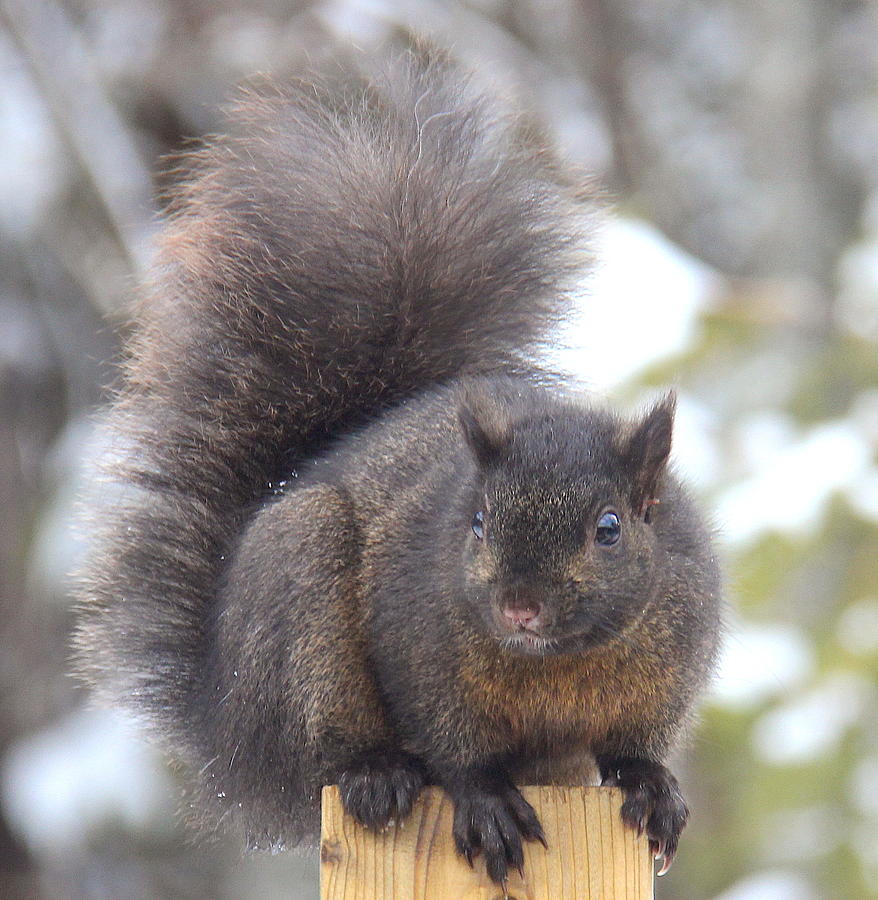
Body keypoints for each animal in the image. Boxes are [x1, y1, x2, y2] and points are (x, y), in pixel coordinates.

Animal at [74, 51, 720, 884]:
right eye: (475, 520)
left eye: (610, 528)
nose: (519, 606)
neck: (557, 663)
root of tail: (223, 730)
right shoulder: (419, 650)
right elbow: (454, 746)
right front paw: (484, 799)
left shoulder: (673, 662)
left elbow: (638, 744)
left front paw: (652, 784)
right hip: (303, 603)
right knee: (332, 753)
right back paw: (376, 772)